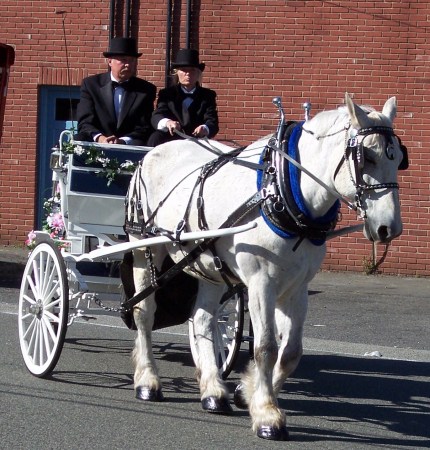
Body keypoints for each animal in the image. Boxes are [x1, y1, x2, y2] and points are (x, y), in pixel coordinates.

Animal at [123, 93, 404, 442]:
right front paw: (268, 414)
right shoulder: (261, 283)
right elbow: (266, 347)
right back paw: (147, 380)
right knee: (144, 312)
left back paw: (214, 390)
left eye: (399, 158)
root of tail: (152, 153)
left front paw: (247, 392)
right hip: (144, 246)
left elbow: (291, 351)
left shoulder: (297, 287)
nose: (388, 228)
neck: (283, 193)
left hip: (208, 264)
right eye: (366, 156)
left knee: (202, 319)